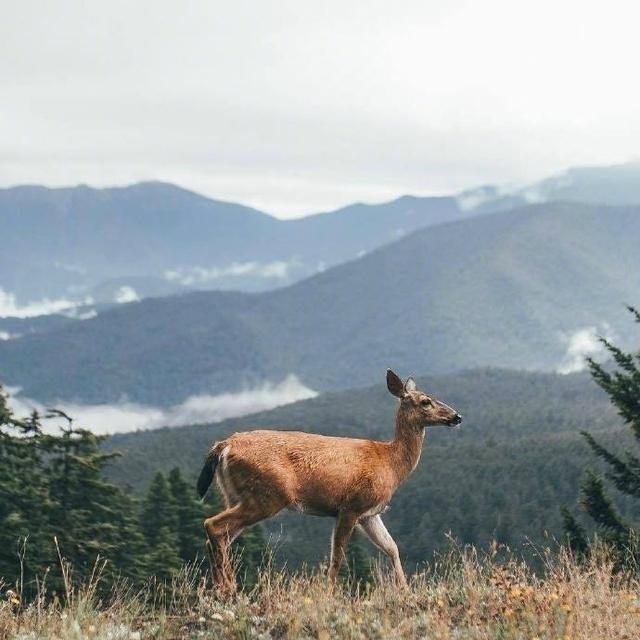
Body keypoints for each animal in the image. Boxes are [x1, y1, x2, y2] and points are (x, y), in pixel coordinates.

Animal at [195, 370, 460, 596]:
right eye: (425, 401)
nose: (457, 416)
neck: (390, 463)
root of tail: (223, 446)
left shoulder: (370, 514)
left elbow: (392, 547)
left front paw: (405, 591)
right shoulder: (351, 506)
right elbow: (337, 555)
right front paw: (330, 593)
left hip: (235, 495)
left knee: (218, 536)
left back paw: (221, 589)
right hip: (266, 496)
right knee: (213, 525)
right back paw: (229, 589)